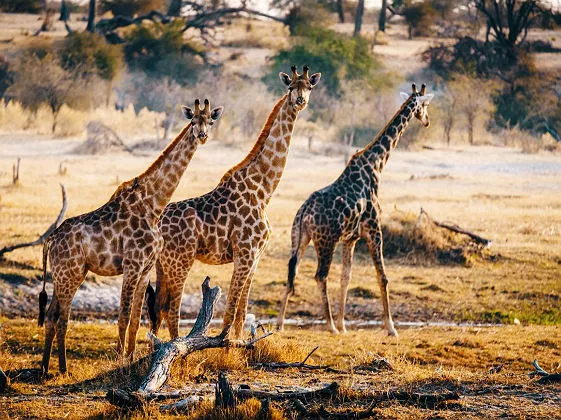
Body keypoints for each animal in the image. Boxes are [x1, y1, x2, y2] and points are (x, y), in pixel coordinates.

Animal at [37, 99, 223, 374]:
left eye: (210, 120)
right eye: (192, 121)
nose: (203, 135)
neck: (153, 206)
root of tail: (50, 241)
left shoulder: (145, 269)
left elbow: (136, 318)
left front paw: (131, 356)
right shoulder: (132, 264)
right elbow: (123, 315)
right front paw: (119, 359)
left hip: (70, 274)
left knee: (52, 315)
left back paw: (46, 368)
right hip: (68, 274)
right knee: (60, 317)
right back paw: (61, 368)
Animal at [149, 66, 322, 342]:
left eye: (309, 86)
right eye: (290, 86)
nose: (300, 101)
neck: (263, 191)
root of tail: (157, 223)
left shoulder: (255, 257)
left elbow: (241, 312)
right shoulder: (245, 252)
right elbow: (230, 312)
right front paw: (224, 347)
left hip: (162, 264)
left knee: (158, 308)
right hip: (180, 261)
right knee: (172, 309)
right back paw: (176, 346)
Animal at [276, 84, 434, 334]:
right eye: (425, 105)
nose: (427, 121)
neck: (377, 164)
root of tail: (304, 213)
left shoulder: (351, 238)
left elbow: (346, 277)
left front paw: (344, 325)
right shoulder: (373, 229)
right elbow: (383, 277)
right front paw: (391, 328)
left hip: (299, 238)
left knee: (293, 271)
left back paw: (281, 323)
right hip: (326, 241)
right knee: (320, 276)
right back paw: (329, 325)